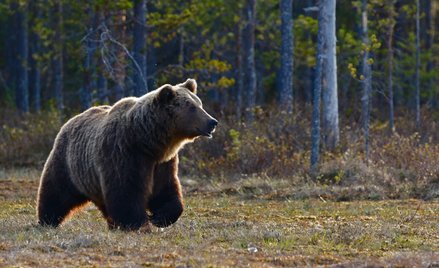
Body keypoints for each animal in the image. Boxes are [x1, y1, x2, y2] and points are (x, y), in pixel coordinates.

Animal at [36, 79, 218, 230]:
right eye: (192, 107)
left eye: (200, 104)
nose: (212, 122)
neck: (147, 141)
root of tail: (70, 120)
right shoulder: (123, 153)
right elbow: (126, 191)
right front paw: (137, 223)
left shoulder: (162, 163)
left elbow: (166, 190)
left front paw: (159, 218)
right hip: (68, 164)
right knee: (56, 192)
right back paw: (47, 220)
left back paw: (112, 224)